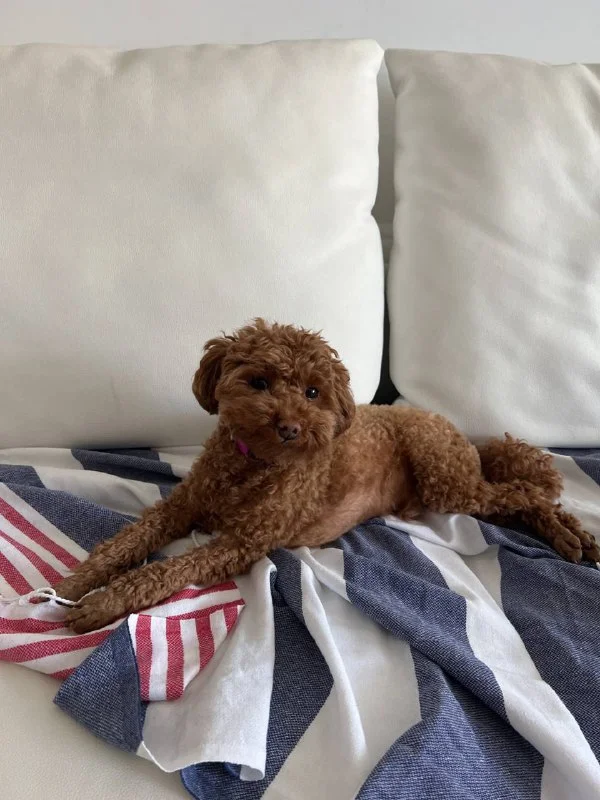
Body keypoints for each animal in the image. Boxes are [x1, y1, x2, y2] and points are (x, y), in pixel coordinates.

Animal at [55, 319, 600, 632]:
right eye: (259, 381)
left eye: (314, 392)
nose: (290, 427)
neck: (252, 466)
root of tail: (459, 431)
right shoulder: (180, 506)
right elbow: (124, 543)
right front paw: (80, 581)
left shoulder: (240, 543)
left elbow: (163, 571)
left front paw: (103, 604)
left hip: (447, 479)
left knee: (526, 491)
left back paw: (573, 537)